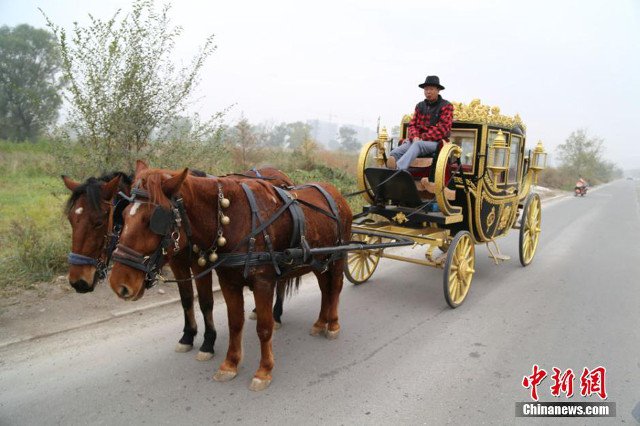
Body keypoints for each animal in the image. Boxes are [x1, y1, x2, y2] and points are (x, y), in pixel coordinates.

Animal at [62, 166, 292, 360]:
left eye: (99, 221)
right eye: (71, 220)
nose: (78, 281)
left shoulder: (201, 265)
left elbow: (205, 302)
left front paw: (208, 342)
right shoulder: (177, 265)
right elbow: (187, 299)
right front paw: (188, 336)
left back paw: (277, 314)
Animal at [108, 166, 352, 390]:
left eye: (153, 219)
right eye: (123, 215)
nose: (119, 284)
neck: (236, 218)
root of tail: (336, 194)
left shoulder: (263, 283)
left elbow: (264, 327)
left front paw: (264, 370)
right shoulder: (228, 282)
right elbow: (234, 323)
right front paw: (229, 365)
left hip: (338, 258)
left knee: (336, 288)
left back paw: (333, 325)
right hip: (320, 261)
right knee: (325, 289)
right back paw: (320, 322)